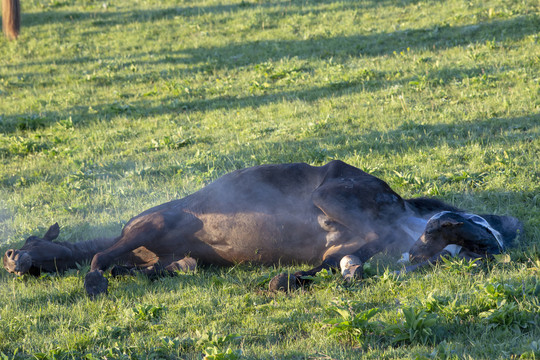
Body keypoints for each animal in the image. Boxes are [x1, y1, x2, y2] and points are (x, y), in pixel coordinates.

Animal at [2, 160, 520, 296]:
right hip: (359, 239)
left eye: (29, 240)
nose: (10, 258)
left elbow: (97, 257)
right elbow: (165, 268)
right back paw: (288, 279)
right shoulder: (172, 260)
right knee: (346, 259)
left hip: (330, 189)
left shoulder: (149, 225)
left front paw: (93, 283)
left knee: (362, 246)